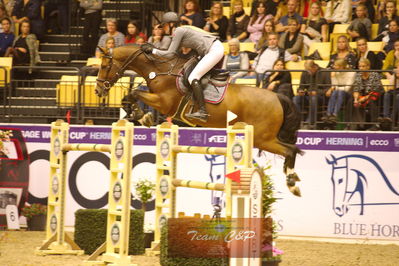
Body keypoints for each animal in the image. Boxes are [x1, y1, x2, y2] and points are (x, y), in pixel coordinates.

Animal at [96, 44, 304, 196]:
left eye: (104, 66)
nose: (98, 90)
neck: (161, 70)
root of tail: (278, 97)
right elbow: (128, 97)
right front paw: (139, 115)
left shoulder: (163, 103)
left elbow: (134, 93)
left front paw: (143, 116)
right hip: (264, 138)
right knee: (291, 150)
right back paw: (293, 179)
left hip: (263, 138)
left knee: (291, 150)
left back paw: (292, 183)